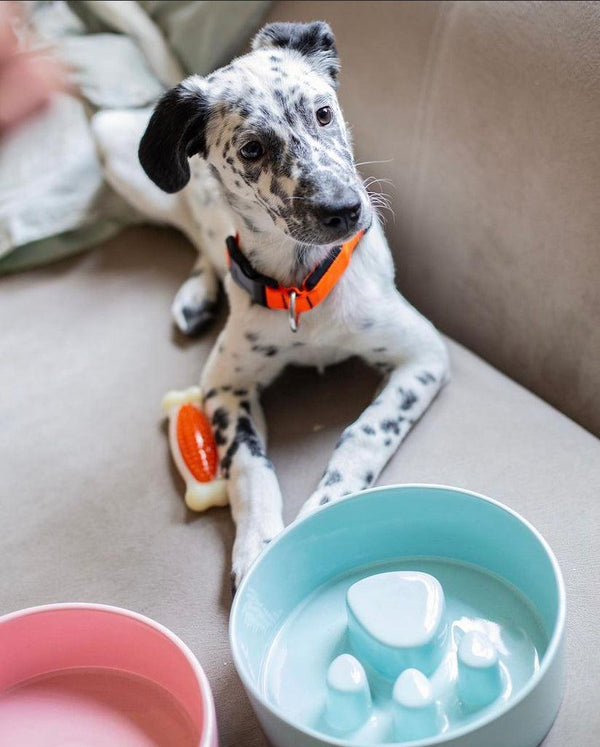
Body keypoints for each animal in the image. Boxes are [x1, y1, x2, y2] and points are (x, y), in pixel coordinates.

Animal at [95, 20, 450, 588]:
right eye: (252, 149)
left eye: (323, 113)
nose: (346, 209)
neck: (301, 286)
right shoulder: (223, 384)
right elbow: (248, 466)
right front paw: (259, 545)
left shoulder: (423, 355)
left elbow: (365, 433)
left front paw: (326, 510)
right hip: (121, 155)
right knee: (196, 232)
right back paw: (196, 294)